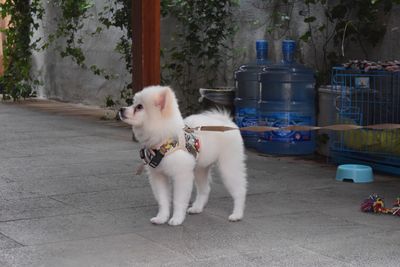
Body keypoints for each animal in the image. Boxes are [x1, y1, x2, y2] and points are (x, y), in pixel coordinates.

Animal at [119, 86, 247, 226]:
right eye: (133, 104)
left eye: (139, 107)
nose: (121, 109)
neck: (164, 141)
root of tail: (227, 122)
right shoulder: (158, 175)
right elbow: (163, 200)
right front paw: (161, 217)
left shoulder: (181, 176)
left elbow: (178, 200)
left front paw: (177, 219)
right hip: (200, 169)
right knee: (205, 189)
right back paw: (197, 208)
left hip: (228, 166)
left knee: (239, 190)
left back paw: (237, 214)